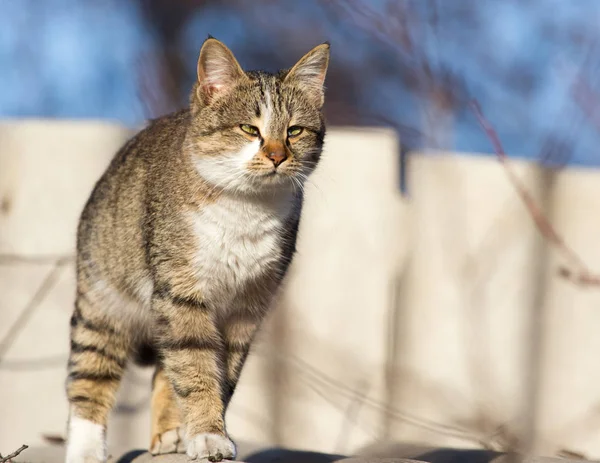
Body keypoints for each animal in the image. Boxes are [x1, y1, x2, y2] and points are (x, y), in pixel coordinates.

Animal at [65, 37, 330, 463]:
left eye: (295, 131)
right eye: (248, 128)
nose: (277, 155)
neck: (245, 209)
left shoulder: (247, 306)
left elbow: (215, 373)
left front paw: (200, 431)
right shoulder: (181, 291)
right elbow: (194, 364)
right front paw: (207, 434)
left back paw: (169, 433)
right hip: (102, 304)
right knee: (91, 374)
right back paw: (87, 448)